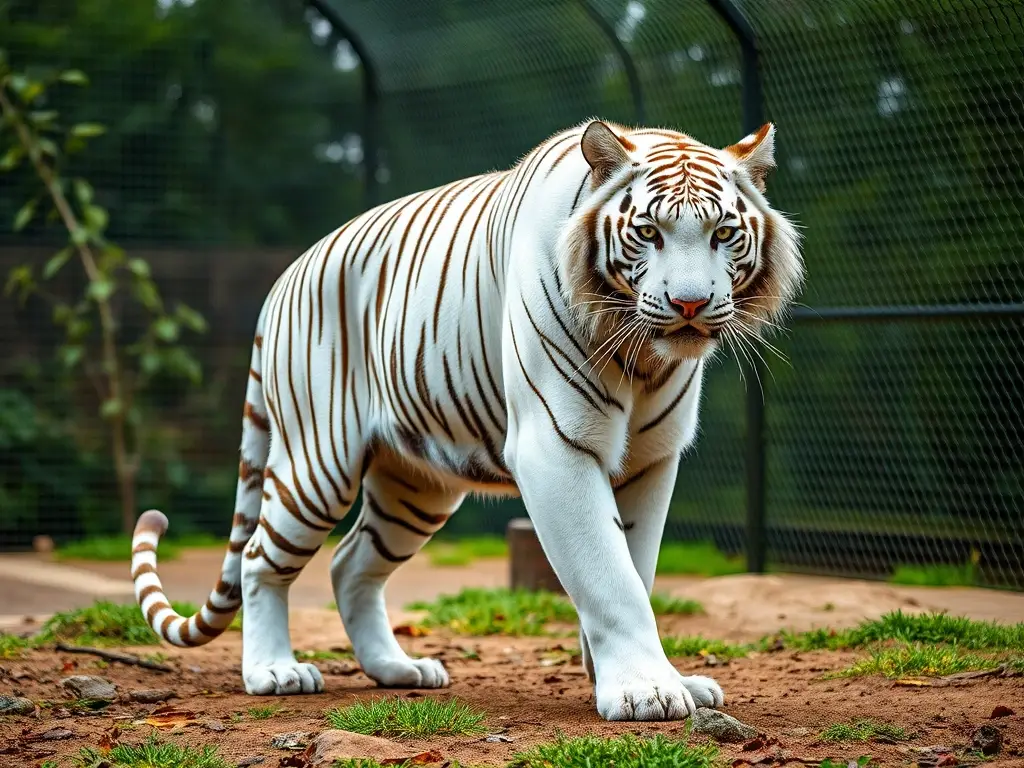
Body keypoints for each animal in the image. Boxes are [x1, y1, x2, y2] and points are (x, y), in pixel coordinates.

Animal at [130, 118, 803, 721]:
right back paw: (274, 671)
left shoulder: (651, 459)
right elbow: (610, 577)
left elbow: (634, 570)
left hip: (416, 488)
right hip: (316, 464)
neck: (640, 358)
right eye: (649, 232)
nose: (690, 304)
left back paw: (398, 669)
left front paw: (639, 679)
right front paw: (645, 691)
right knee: (258, 558)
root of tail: (282, 281)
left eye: (722, 233)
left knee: (351, 564)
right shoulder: (554, 447)